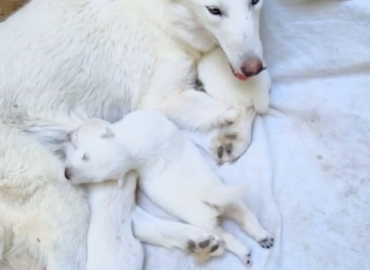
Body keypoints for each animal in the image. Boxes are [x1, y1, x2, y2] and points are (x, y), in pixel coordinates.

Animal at [62, 110, 274, 268]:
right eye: (94, 178)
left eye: (84, 155)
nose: (66, 173)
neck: (127, 145)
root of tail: (207, 194)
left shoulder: (141, 120)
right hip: (219, 190)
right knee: (240, 211)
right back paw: (260, 238)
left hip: (200, 211)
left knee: (221, 231)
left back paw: (246, 248)